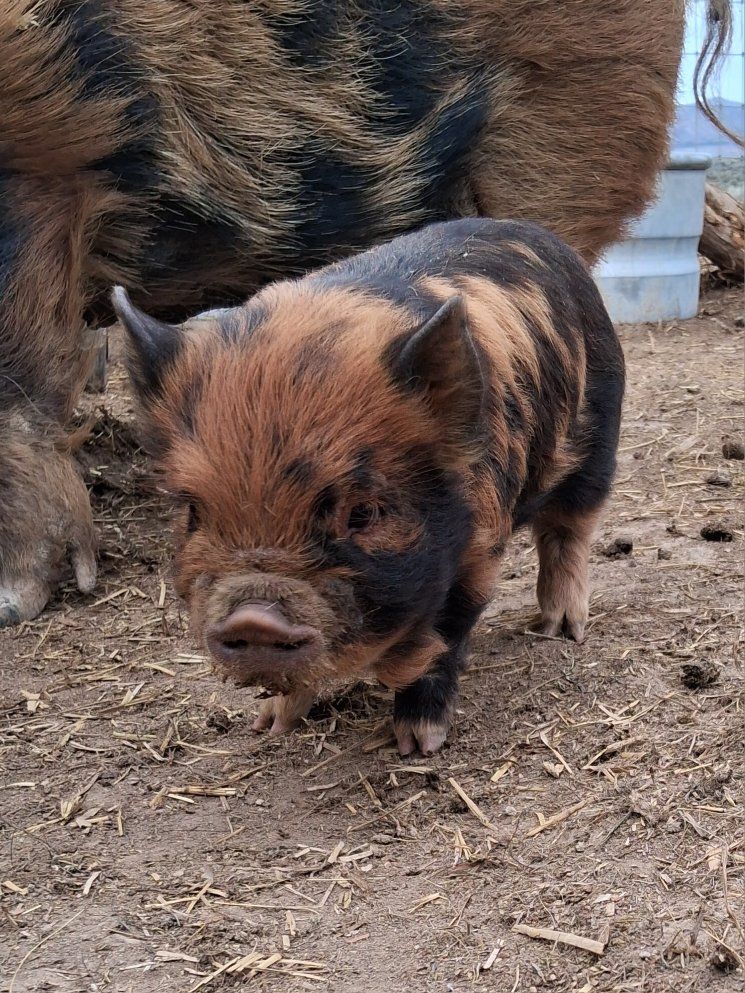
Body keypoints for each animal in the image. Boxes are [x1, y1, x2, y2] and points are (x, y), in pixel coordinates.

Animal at [112, 217, 625, 755]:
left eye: (364, 512)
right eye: (193, 512)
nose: (253, 618)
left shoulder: (480, 545)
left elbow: (443, 639)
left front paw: (418, 743)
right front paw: (269, 725)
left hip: (600, 433)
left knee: (570, 529)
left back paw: (560, 631)